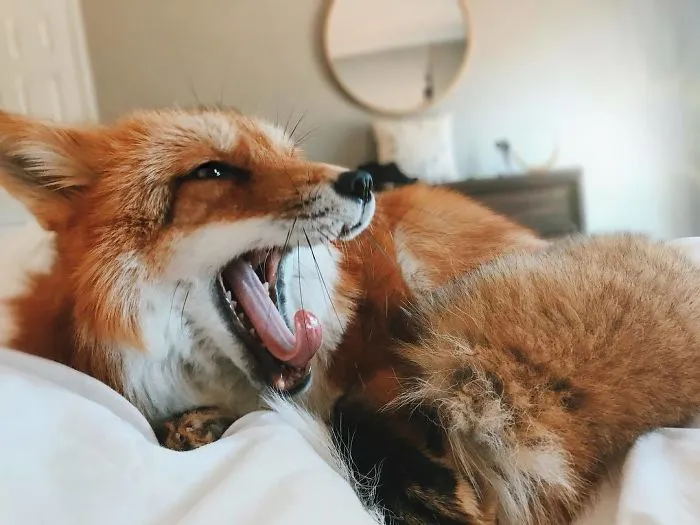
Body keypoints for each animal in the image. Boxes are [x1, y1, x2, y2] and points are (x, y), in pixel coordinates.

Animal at [2, 107, 700, 524]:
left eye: (288, 156)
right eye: (213, 170)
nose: (362, 181)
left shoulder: (394, 363)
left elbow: (358, 412)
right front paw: (193, 426)